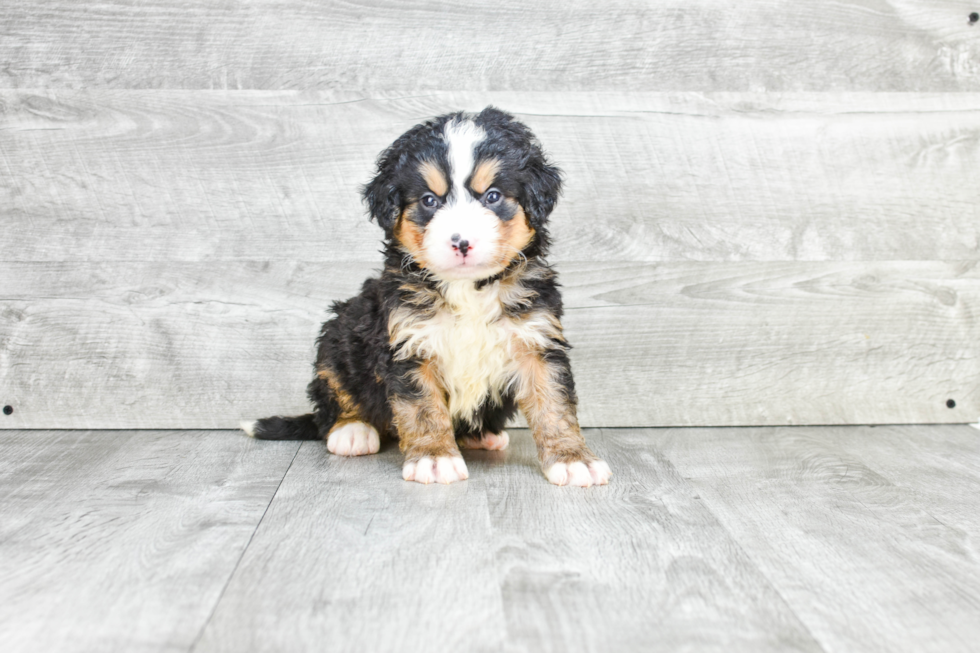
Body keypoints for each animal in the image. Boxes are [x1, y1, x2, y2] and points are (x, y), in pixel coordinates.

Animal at [243, 105, 612, 484]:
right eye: (429, 200)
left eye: (492, 196)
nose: (461, 242)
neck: (468, 289)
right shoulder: (409, 343)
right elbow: (422, 407)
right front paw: (434, 457)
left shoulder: (537, 340)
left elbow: (554, 402)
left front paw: (572, 458)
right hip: (339, 336)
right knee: (332, 396)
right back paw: (352, 430)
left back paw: (481, 434)